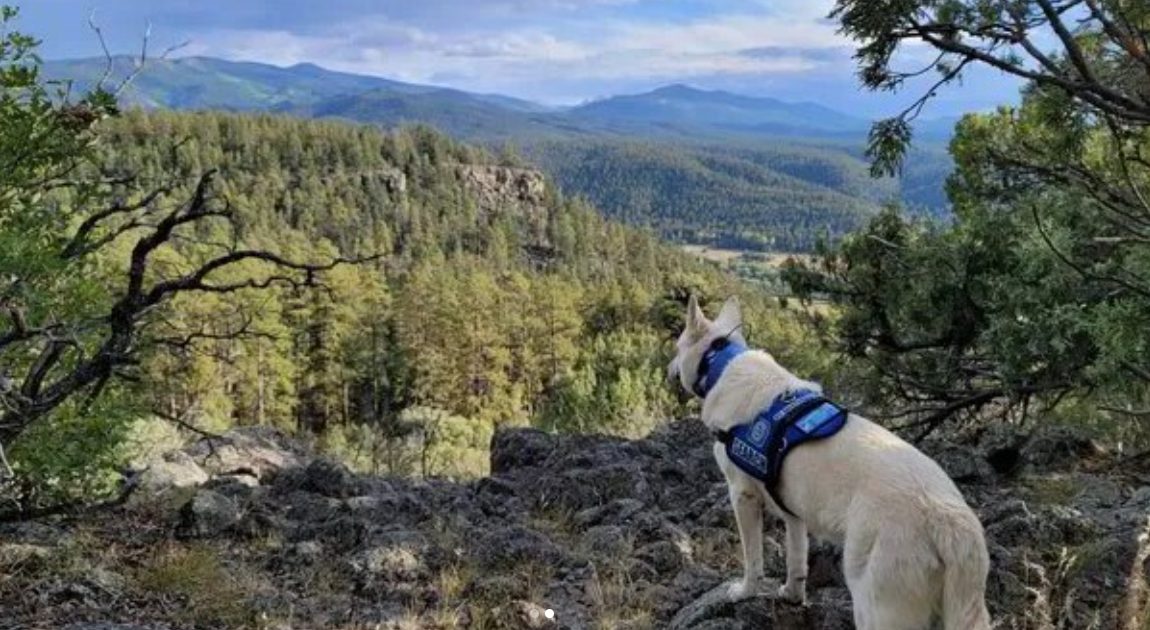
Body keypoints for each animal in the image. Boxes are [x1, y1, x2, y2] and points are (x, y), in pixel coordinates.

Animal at [671, 296, 993, 630]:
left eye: (677, 347)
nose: (670, 369)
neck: (723, 362)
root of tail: (949, 522)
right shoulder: (793, 513)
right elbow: (796, 560)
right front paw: (792, 595)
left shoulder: (742, 496)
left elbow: (753, 560)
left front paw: (744, 591)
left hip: (875, 605)